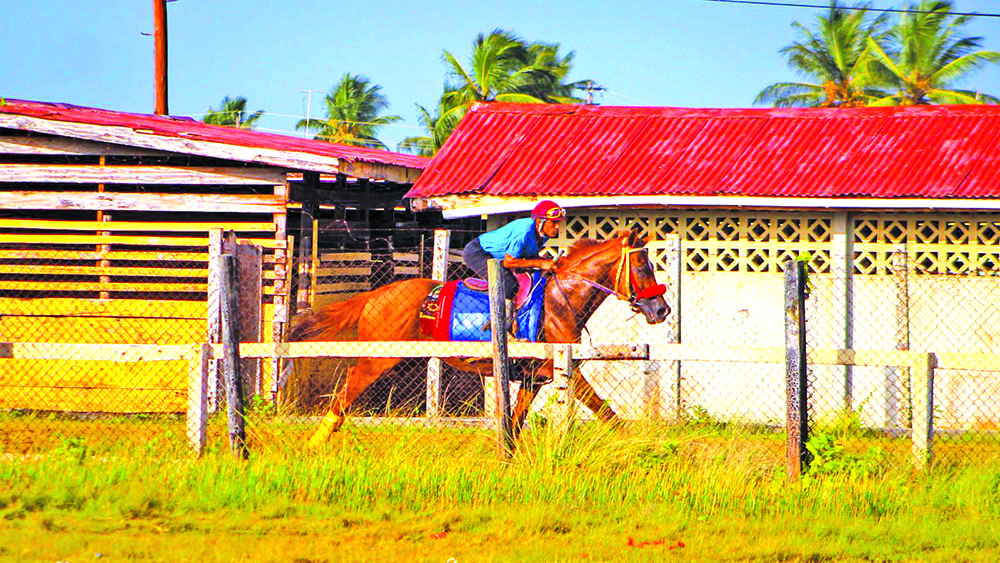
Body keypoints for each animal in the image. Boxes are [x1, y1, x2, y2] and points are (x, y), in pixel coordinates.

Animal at [291, 226, 670, 449]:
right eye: (643, 267)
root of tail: (375, 294)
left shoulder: (535, 376)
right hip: (377, 359)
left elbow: (515, 423)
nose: (662, 309)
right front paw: (638, 445)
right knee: (344, 394)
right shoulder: (565, 368)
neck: (561, 299)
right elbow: (605, 411)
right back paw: (314, 443)